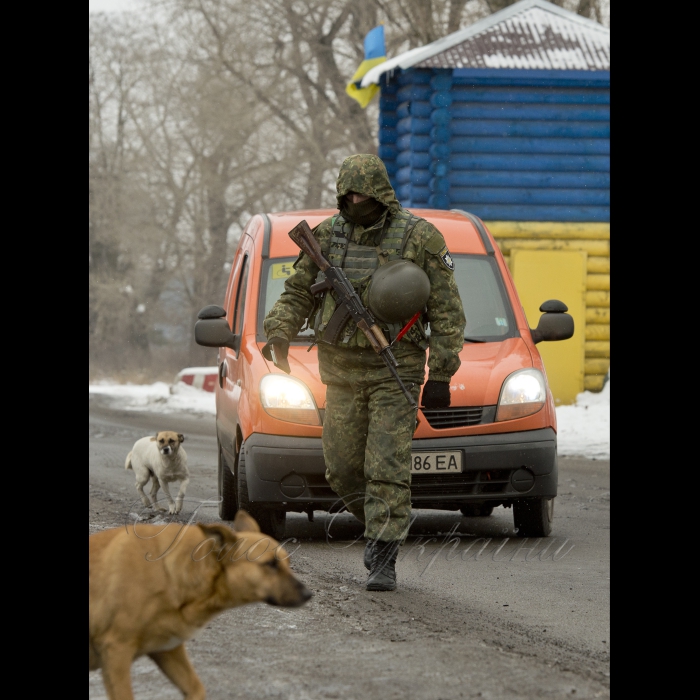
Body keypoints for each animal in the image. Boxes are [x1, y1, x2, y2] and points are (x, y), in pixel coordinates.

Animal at [89, 508, 312, 700]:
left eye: (288, 564)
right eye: (271, 564)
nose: (308, 595)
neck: (169, 573)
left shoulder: (168, 650)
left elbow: (196, 688)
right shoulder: (116, 652)